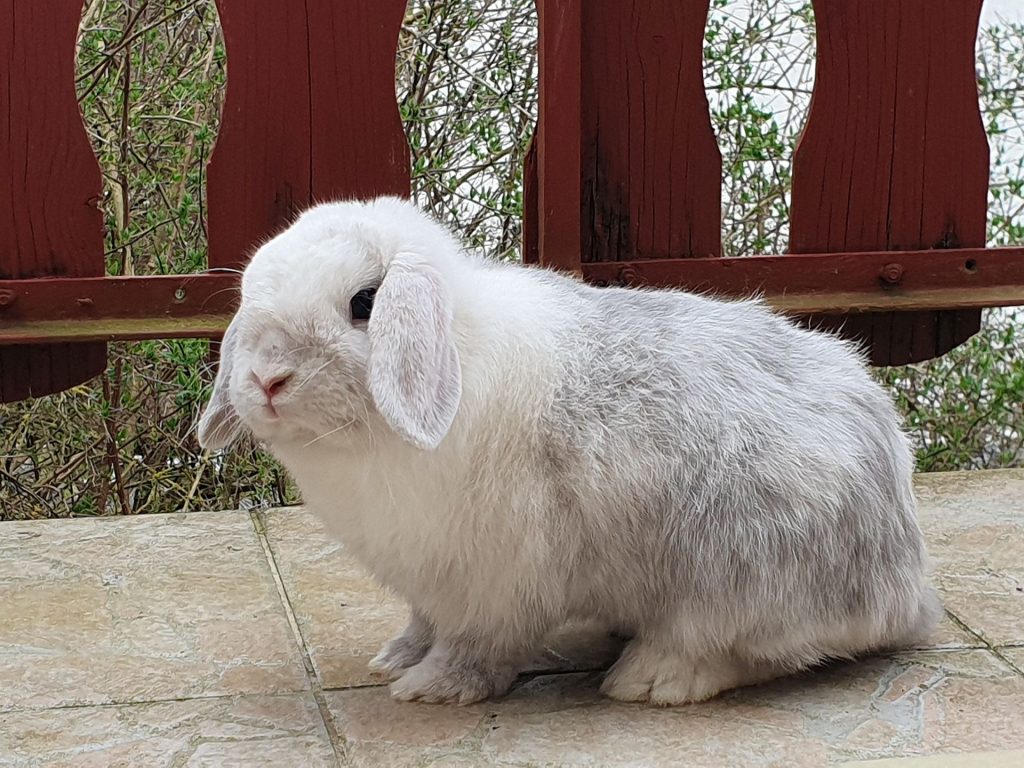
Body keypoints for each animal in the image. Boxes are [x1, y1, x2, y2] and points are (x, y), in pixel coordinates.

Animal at [195, 195, 937, 708]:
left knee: (750, 648)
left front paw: (432, 688)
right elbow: (422, 622)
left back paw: (651, 678)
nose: (267, 380)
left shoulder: (491, 582)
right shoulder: (427, 579)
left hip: (738, 573)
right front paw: (397, 659)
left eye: (365, 302)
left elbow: (475, 645)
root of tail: (906, 580)